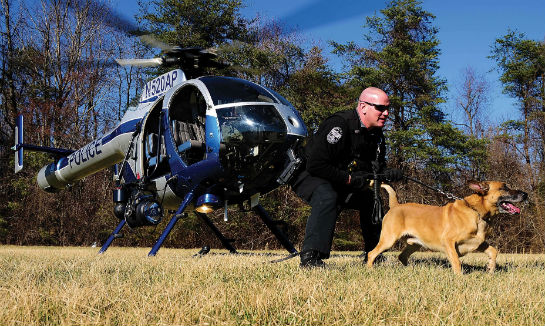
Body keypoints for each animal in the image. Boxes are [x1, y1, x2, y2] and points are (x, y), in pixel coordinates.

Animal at [366, 182, 528, 274]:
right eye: (504, 188)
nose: (525, 194)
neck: (476, 212)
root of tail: (395, 205)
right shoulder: (449, 242)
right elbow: (456, 261)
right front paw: (459, 278)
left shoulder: (479, 242)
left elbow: (494, 251)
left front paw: (490, 268)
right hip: (388, 239)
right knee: (372, 254)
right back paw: (370, 270)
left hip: (414, 244)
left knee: (402, 256)